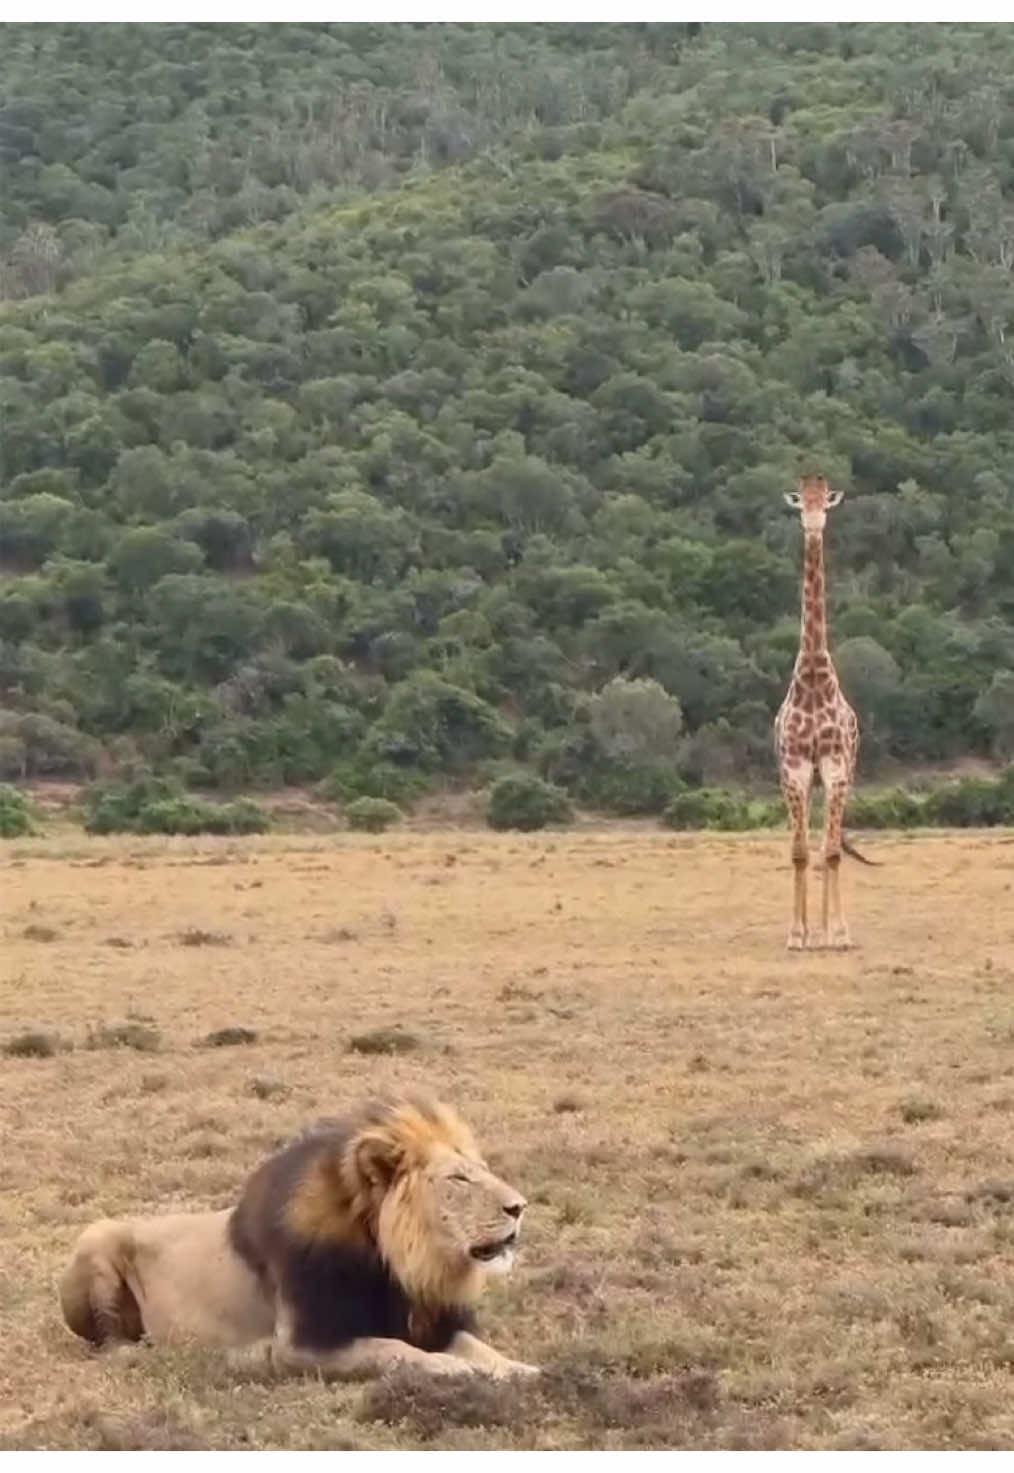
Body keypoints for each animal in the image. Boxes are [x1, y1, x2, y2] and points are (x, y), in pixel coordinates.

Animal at [58, 1095, 539, 1378]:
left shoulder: (430, 1322)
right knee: (109, 1342)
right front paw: (460, 1372)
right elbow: (398, 1352)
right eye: (459, 1178)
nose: (520, 1206)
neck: (392, 1261)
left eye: (483, 1170)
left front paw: (525, 1371)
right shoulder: (304, 1344)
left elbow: (478, 1349)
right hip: (96, 1237)